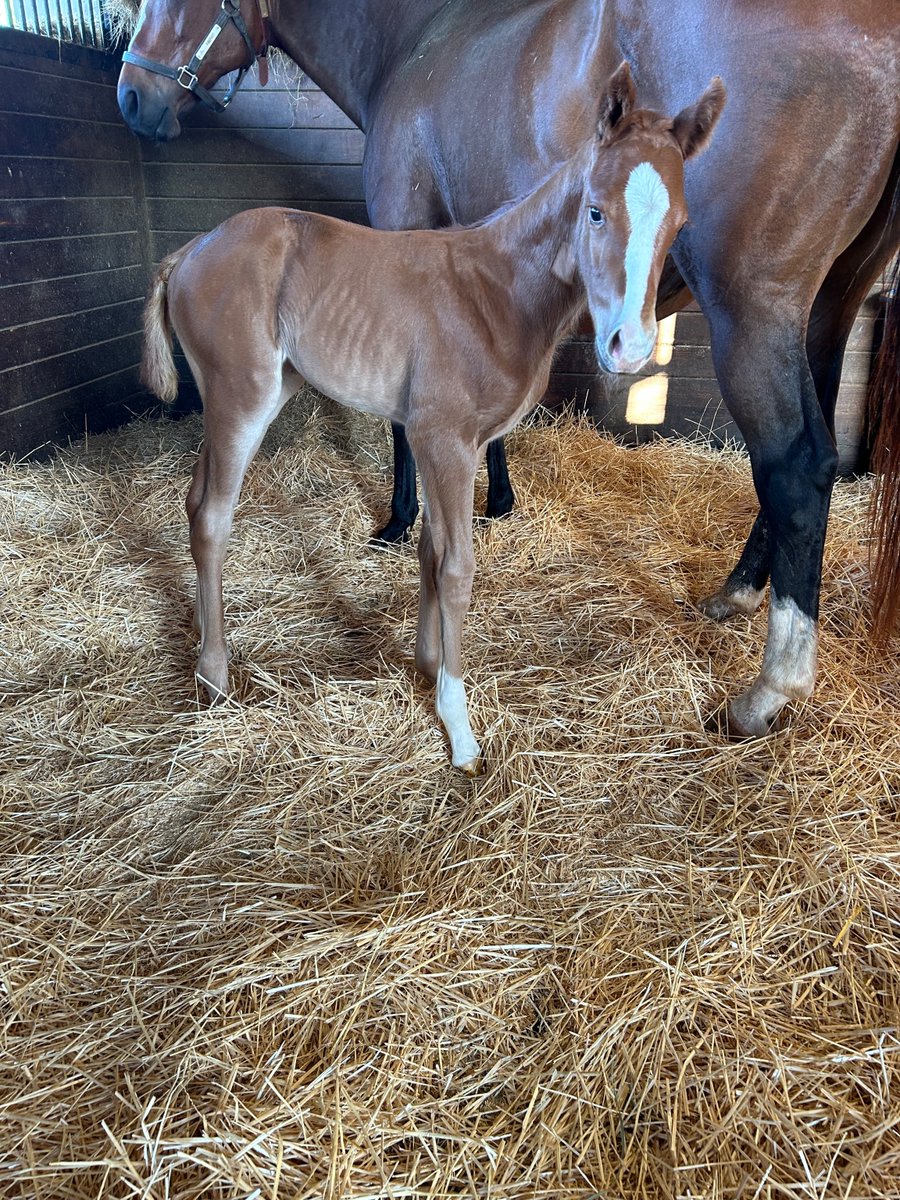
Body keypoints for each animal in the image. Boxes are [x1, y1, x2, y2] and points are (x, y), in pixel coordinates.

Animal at [144, 65, 729, 772]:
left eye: (678, 223)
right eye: (595, 210)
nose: (632, 347)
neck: (498, 290)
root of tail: (189, 252)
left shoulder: (458, 443)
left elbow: (429, 548)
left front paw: (425, 664)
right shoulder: (441, 437)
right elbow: (455, 567)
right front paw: (458, 722)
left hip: (251, 393)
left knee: (193, 499)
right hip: (241, 396)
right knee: (211, 515)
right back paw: (214, 674)